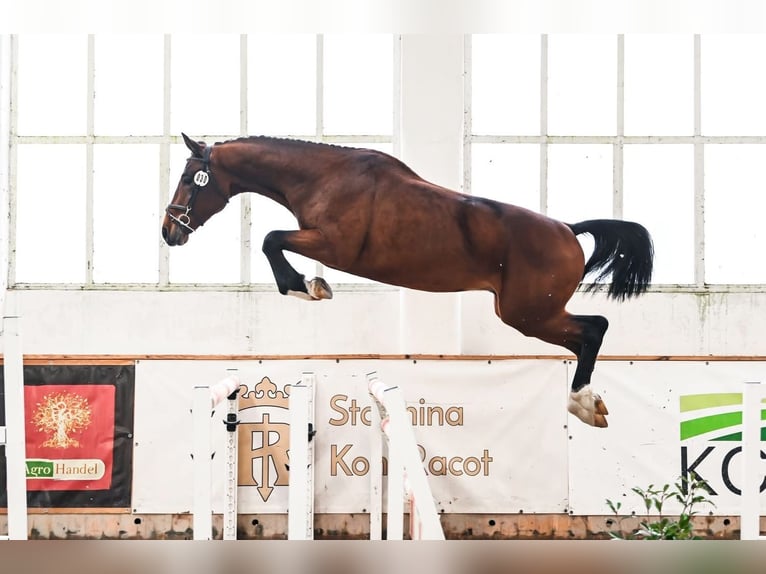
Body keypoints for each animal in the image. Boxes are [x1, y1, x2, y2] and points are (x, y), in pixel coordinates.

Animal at [162, 133, 654, 428]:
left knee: (594, 329)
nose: (169, 231)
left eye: (188, 177)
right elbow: (273, 240)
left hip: (530, 314)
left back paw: (583, 403)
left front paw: (306, 287)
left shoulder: (333, 246)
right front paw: (309, 285)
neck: (324, 176)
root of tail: (569, 230)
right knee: (587, 333)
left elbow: (270, 239)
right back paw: (588, 403)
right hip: (530, 314)